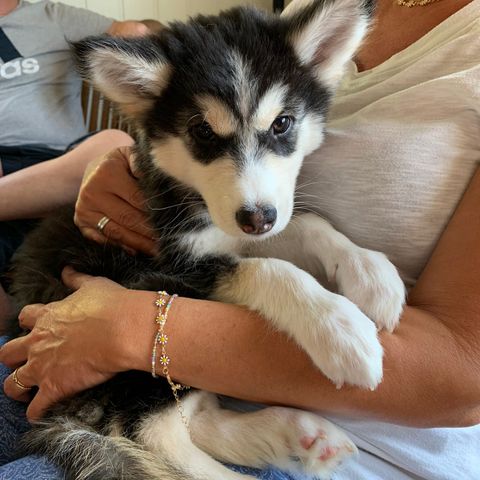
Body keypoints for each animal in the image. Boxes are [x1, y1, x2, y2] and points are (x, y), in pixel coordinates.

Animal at [8, 0, 404, 478]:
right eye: (202, 132)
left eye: (282, 124)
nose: (257, 219)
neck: (192, 198)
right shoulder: (177, 265)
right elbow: (269, 269)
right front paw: (340, 325)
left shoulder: (249, 224)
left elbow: (307, 224)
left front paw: (370, 272)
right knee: (149, 430)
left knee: (194, 417)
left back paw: (303, 437)